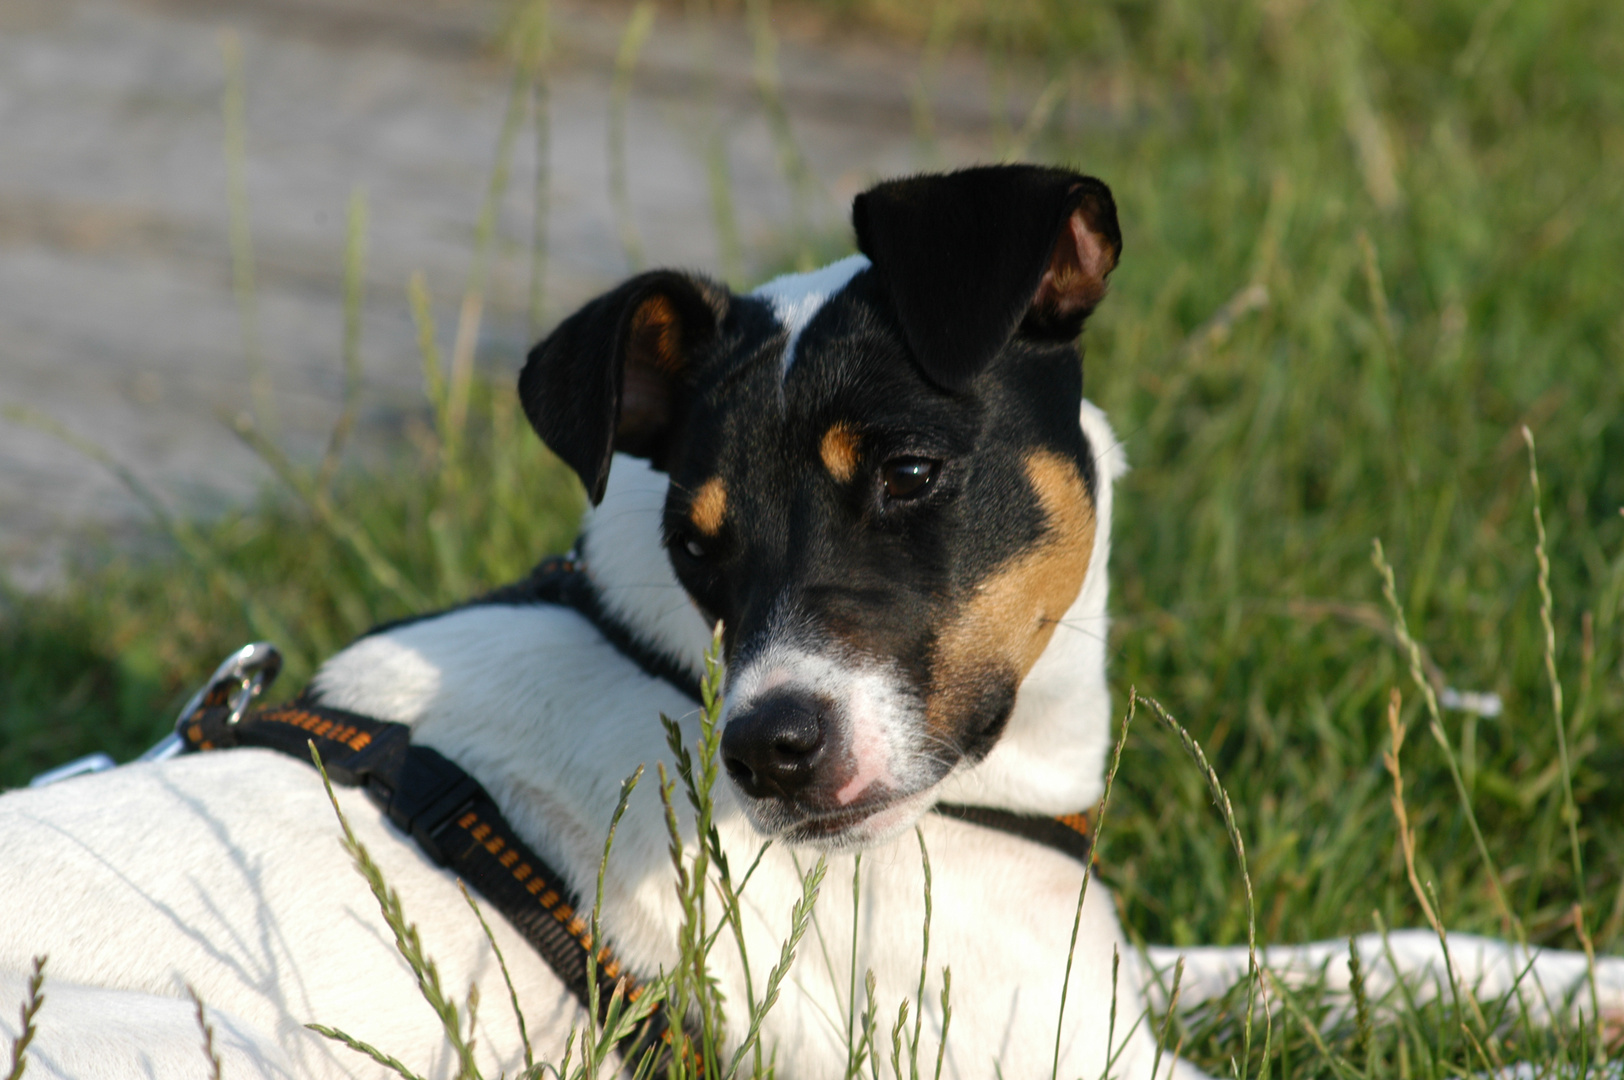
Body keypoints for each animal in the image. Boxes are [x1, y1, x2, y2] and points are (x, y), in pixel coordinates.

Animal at [0, 164, 1617, 1071]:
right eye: (696, 543)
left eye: (908, 474)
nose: (770, 756)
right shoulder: (1064, 1064)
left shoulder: (1090, 995)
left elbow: (1375, 957)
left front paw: (1581, 988)